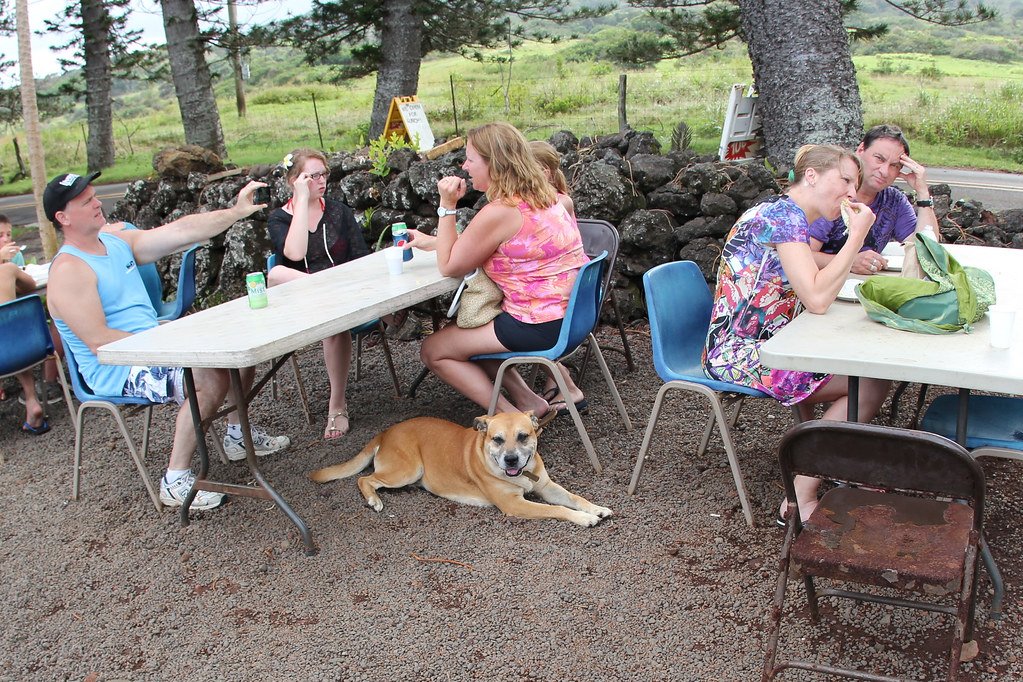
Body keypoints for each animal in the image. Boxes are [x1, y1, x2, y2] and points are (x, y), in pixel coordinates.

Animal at [302, 411, 605, 527]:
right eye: (496, 439)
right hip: (407, 469)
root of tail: (385, 432)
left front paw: (596, 508)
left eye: (523, 436)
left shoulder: (547, 486)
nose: (511, 460)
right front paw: (584, 518)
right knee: (365, 479)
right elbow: (558, 510)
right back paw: (373, 500)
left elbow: (575, 498)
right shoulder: (515, 505)